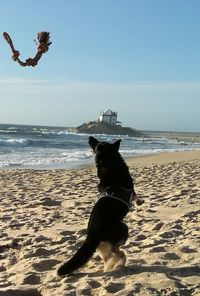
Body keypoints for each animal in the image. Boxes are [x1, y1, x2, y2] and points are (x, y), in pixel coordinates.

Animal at [57, 136, 143, 276]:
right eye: (98, 144)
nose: (89, 137)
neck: (109, 164)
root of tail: (92, 234)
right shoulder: (132, 189)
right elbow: (136, 195)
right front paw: (140, 201)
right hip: (123, 228)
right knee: (114, 248)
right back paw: (121, 258)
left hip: (101, 245)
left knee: (108, 255)